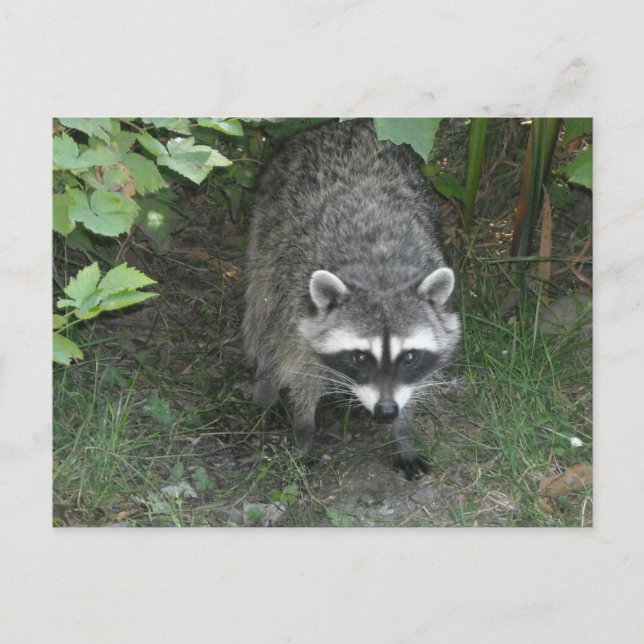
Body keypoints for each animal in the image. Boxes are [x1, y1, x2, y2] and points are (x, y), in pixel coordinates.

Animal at [242, 119, 461, 478]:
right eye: (360, 357)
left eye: (409, 357)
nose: (386, 410)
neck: (381, 274)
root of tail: (340, 125)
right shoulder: (296, 304)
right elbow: (300, 369)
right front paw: (304, 427)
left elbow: (413, 384)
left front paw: (403, 431)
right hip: (265, 227)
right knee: (261, 310)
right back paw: (265, 376)